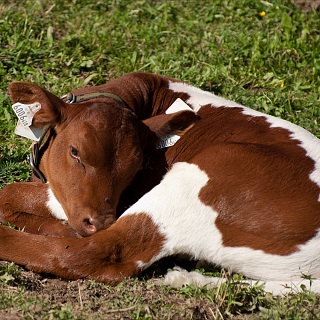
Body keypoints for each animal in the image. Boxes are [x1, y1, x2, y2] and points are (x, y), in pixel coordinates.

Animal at [0, 73, 320, 296]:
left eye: (137, 167)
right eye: (75, 151)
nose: (100, 221)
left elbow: (10, 193)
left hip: (208, 173)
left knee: (94, 253)